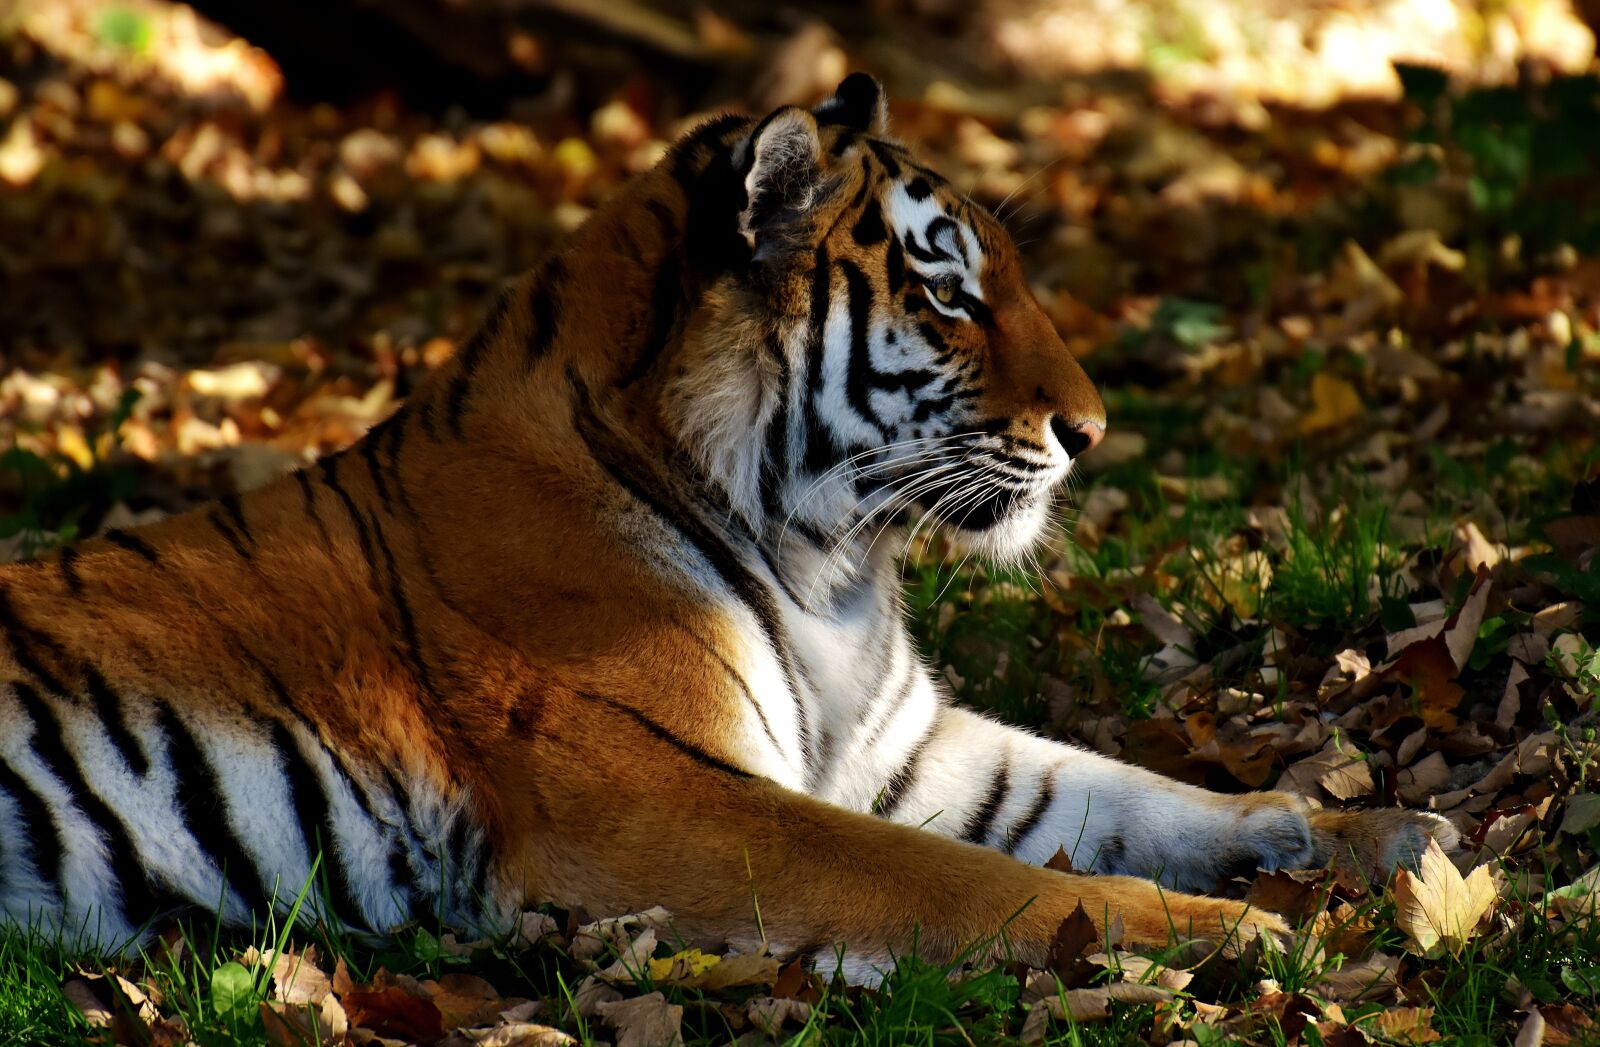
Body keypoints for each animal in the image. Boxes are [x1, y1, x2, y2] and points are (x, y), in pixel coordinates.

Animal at [0, 74, 1456, 979]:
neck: (832, 571)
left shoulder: (901, 748)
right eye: (950, 298)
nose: (1093, 430)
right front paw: (1233, 934)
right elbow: (980, 882)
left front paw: (1374, 836)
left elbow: (1130, 794)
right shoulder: (662, 795)